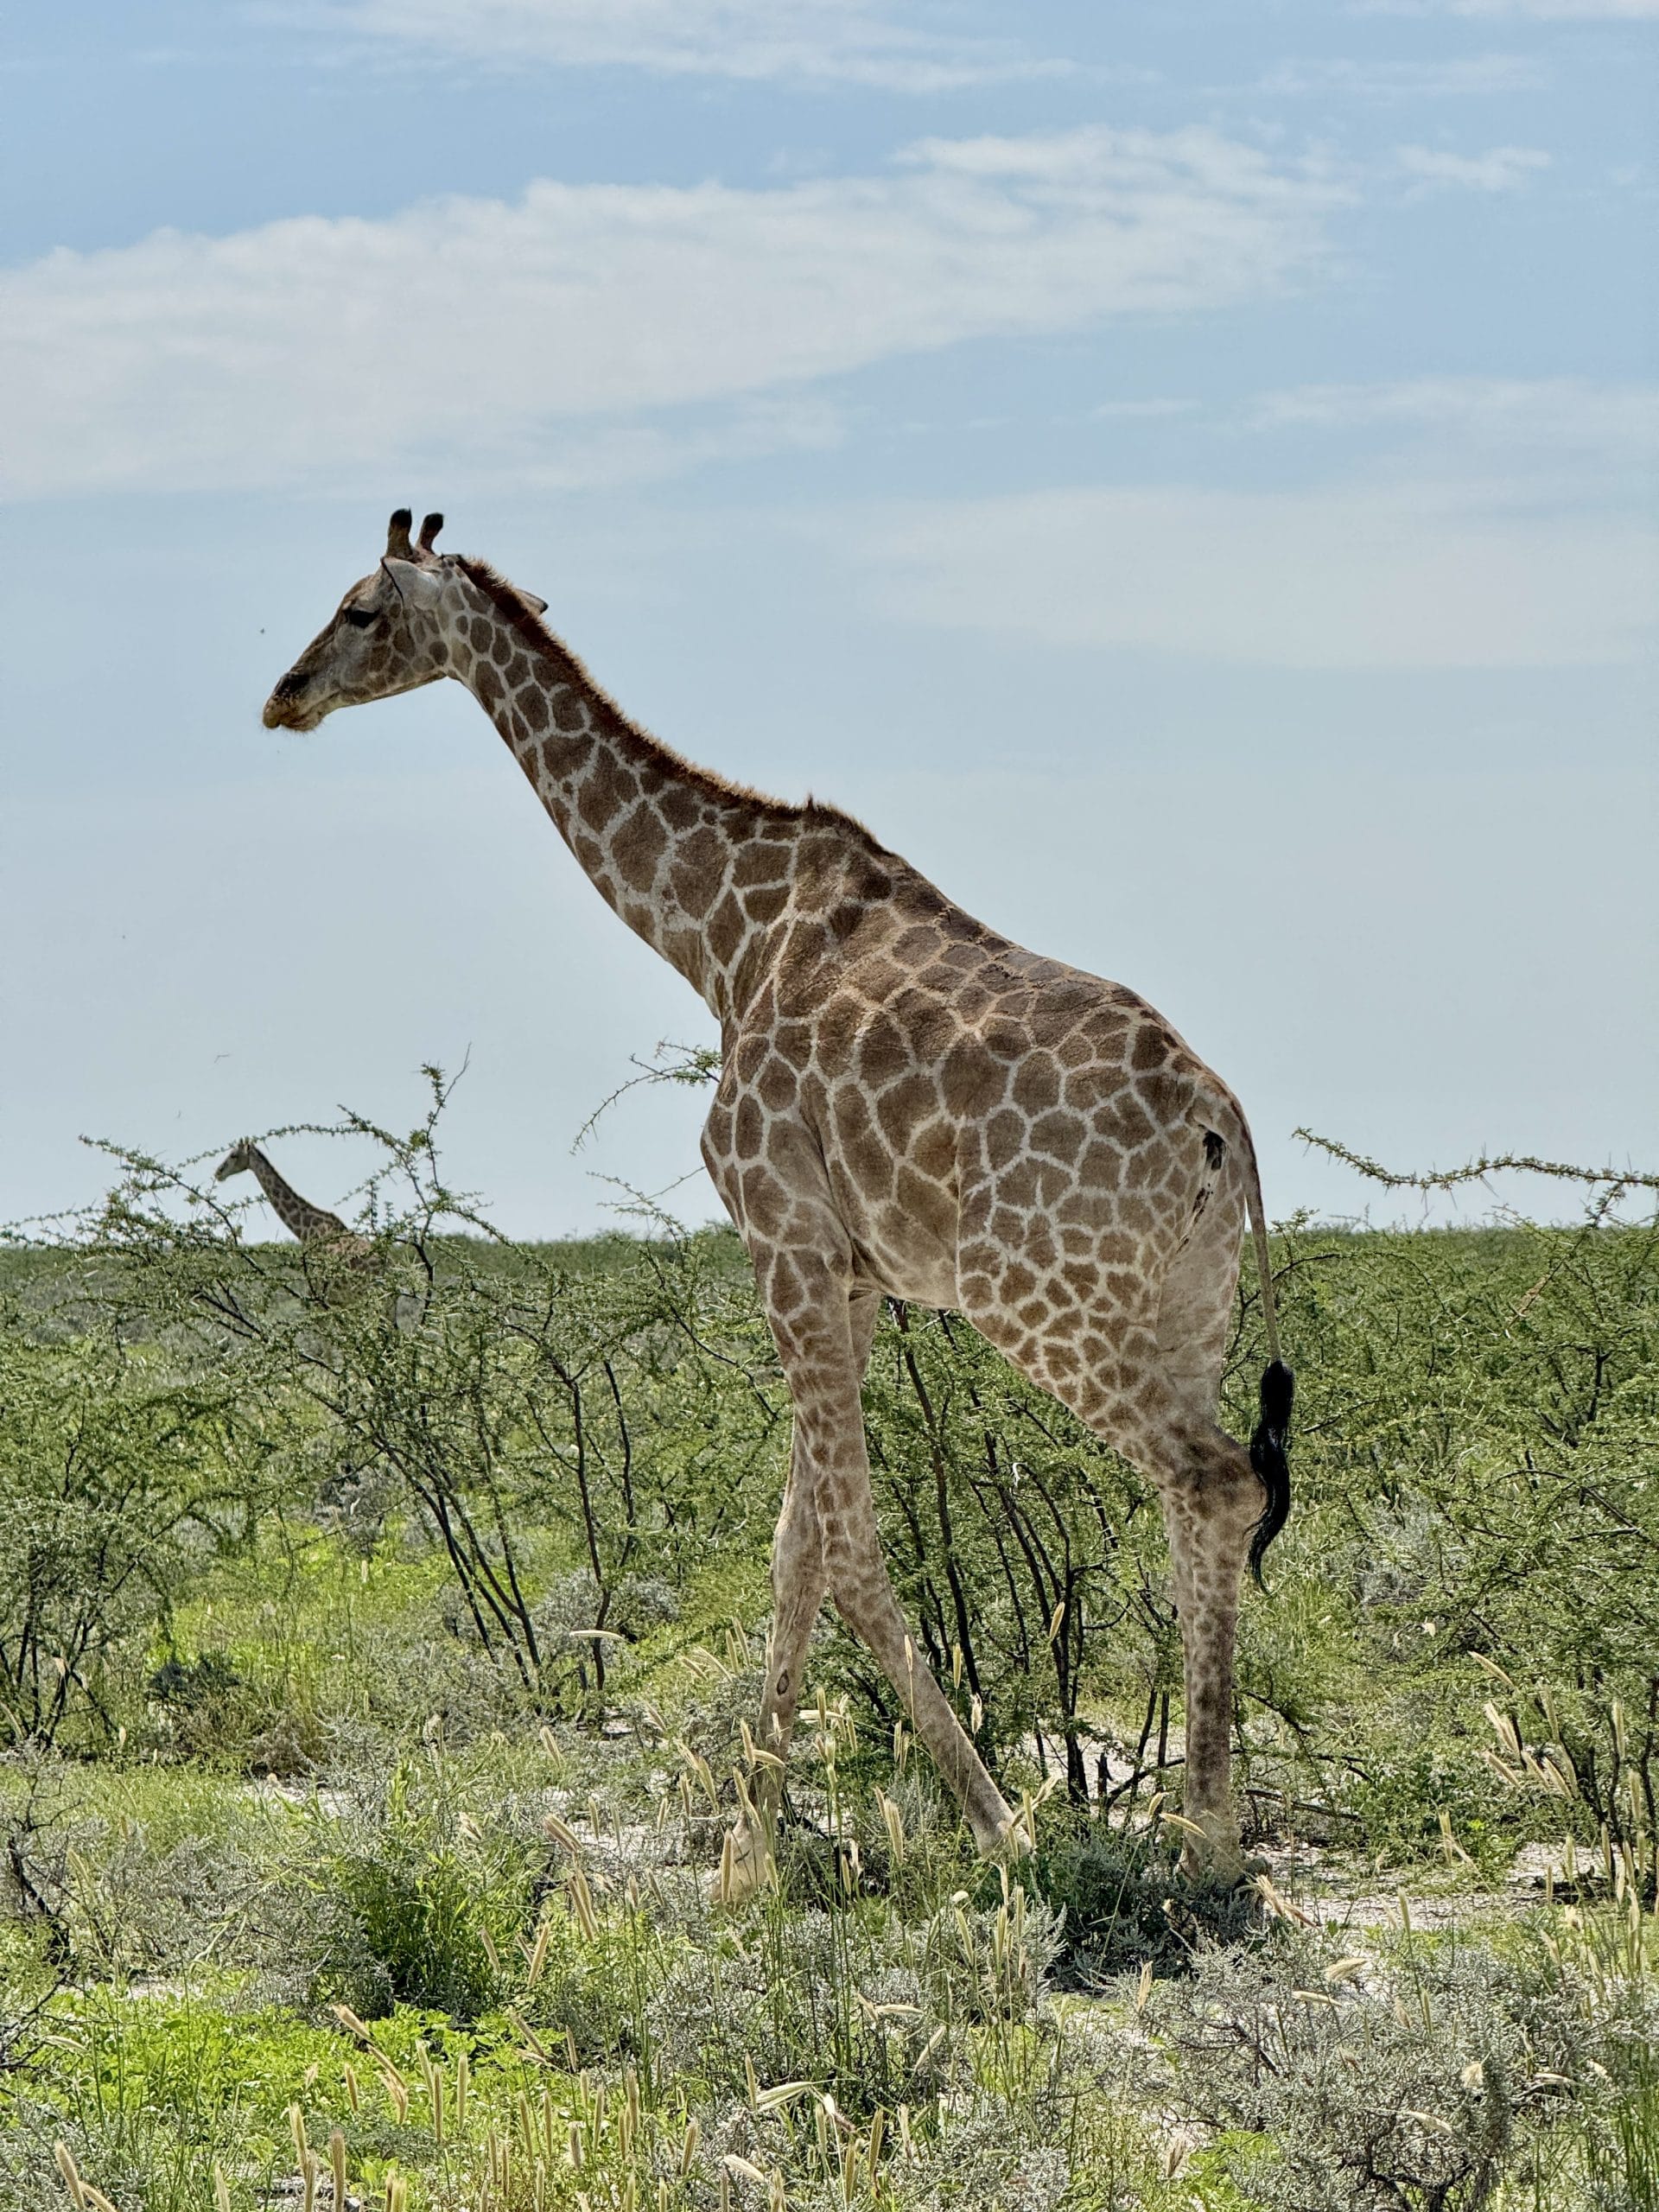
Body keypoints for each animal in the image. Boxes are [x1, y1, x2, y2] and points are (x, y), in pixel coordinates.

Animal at [263, 510, 1294, 1892]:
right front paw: (746, 1859)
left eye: (361, 609)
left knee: (1214, 1483)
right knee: (1213, 1496)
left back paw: (1205, 1844)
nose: (285, 695)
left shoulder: (780, 1234)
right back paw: (1201, 1829)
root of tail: (1221, 1128)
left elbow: (845, 1551)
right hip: (1187, 1309)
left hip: (1039, 1299)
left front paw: (999, 1830)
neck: (719, 934)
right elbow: (793, 1552)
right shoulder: (846, 1273)